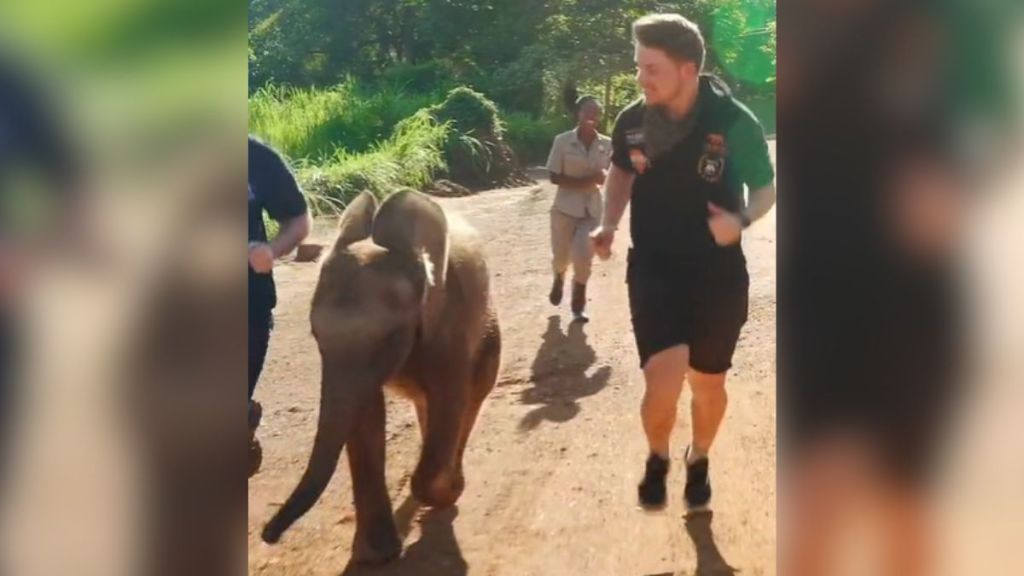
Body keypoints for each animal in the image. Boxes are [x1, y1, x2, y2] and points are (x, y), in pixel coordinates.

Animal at [262, 187, 501, 561]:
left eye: (391, 337)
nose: (267, 535)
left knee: (471, 399)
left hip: (488, 328)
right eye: (315, 335)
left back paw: (450, 488)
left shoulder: (450, 324)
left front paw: (439, 496)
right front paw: (377, 555)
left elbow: (451, 398)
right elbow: (365, 418)